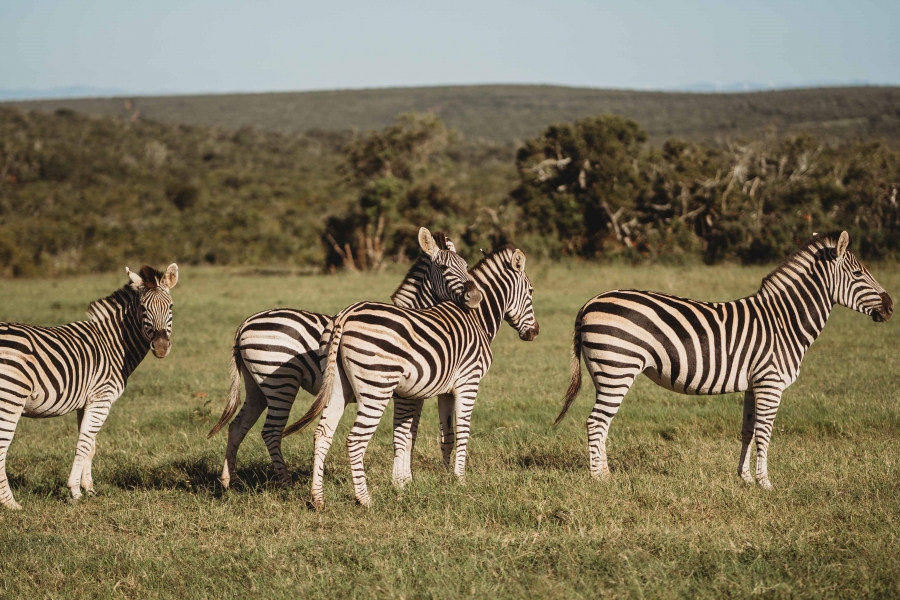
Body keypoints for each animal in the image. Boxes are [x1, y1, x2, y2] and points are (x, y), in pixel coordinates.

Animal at [0, 264, 178, 508]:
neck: (113, 344)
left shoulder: (86, 402)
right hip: (11, 398)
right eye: (143, 308)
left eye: (170, 306)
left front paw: (89, 488)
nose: (160, 347)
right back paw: (11, 504)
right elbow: (84, 444)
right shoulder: (102, 399)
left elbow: (90, 445)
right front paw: (74, 491)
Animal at [207, 227, 482, 490]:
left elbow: (408, 433)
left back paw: (228, 481)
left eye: (466, 265)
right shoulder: (408, 392)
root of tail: (244, 324)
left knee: (237, 426)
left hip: (258, 385)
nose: (475, 297)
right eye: (445, 269)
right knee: (271, 431)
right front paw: (405, 480)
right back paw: (284, 482)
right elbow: (408, 433)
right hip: (280, 382)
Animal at [556, 232, 892, 490]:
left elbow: (748, 431)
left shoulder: (754, 385)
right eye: (859, 274)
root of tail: (590, 302)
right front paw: (766, 483)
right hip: (618, 368)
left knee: (602, 423)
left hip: (607, 372)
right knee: (597, 421)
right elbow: (765, 433)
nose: (890, 306)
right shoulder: (770, 383)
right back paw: (599, 479)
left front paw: (745, 479)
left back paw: (606, 473)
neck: (784, 322)